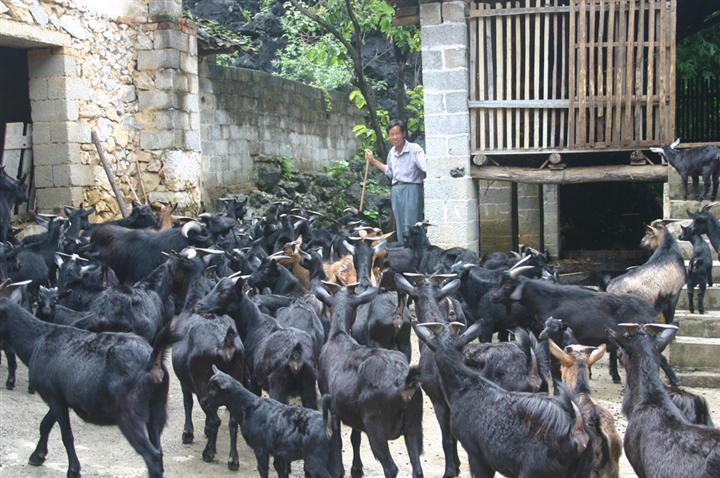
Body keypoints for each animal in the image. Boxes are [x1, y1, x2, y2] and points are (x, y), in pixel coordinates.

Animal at [0, 286, 176, 476]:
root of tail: (152, 361)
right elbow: (45, 424)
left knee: (151, 455)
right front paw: (37, 456)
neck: (36, 342)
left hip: (128, 413)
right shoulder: (61, 397)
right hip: (157, 408)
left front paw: (73, 470)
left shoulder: (53, 396)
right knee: (158, 449)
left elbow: (66, 435)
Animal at [202, 368, 344, 476]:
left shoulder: (260, 449)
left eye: (213, 390)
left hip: (315, 460)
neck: (248, 406)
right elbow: (281, 471)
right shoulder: (280, 455)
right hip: (334, 456)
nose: (203, 402)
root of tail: (328, 424)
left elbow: (263, 471)